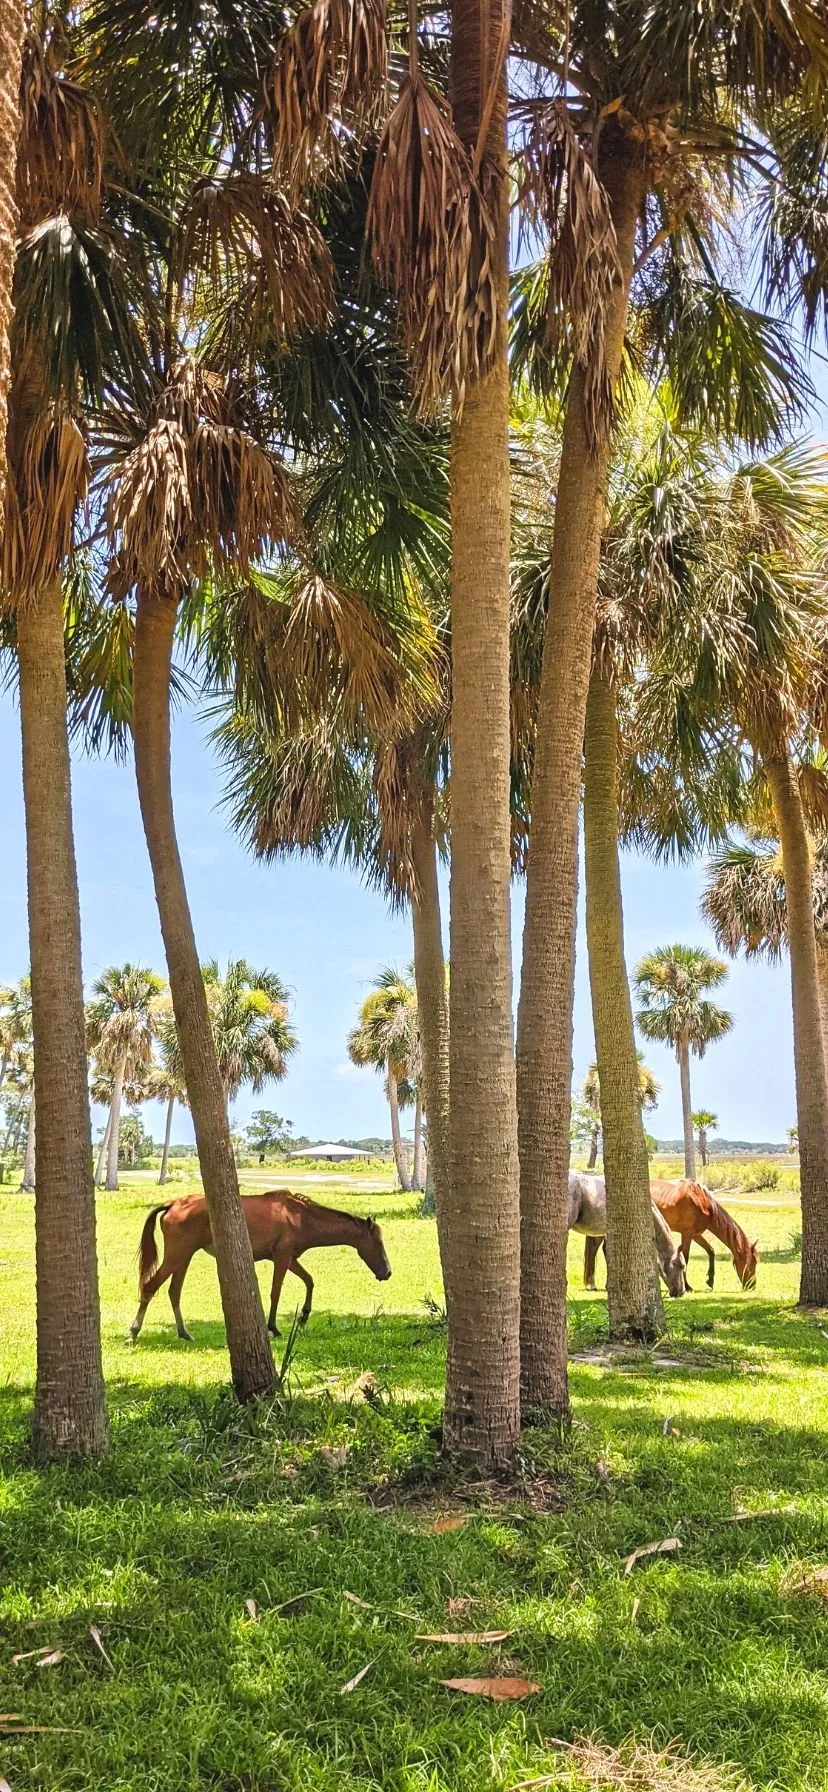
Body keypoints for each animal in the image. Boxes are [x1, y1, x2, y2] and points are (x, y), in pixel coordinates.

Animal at [129, 1189, 394, 1347]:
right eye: (377, 1242)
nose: (387, 1272)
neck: (299, 1217)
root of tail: (174, 1204)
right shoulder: (282, 1258)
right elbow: (276, 1292)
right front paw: (273, 1327)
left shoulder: (291, 1258)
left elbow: (309, 1280)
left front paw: (304, 1315)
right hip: (177, 1256)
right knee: (150, 1286)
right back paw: (133, 1332)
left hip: (184, 1258)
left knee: (174, 1291)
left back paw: (184, 1332)